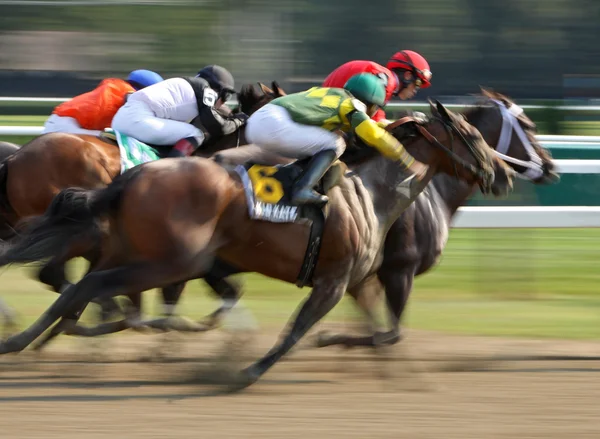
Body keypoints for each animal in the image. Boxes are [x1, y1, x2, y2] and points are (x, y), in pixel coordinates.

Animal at [0, 99, 516, 388]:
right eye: (472, 136)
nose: (504, 174)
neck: (372, 191)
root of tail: (137, 173)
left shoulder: (359, 280)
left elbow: (382, 331)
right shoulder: (334, 280)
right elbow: (295, 330)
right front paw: (245, 371)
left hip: (133, 252)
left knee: (76, 288)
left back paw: (38, 337)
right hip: (167, 260)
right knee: (85, 287)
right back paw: (30, 338)